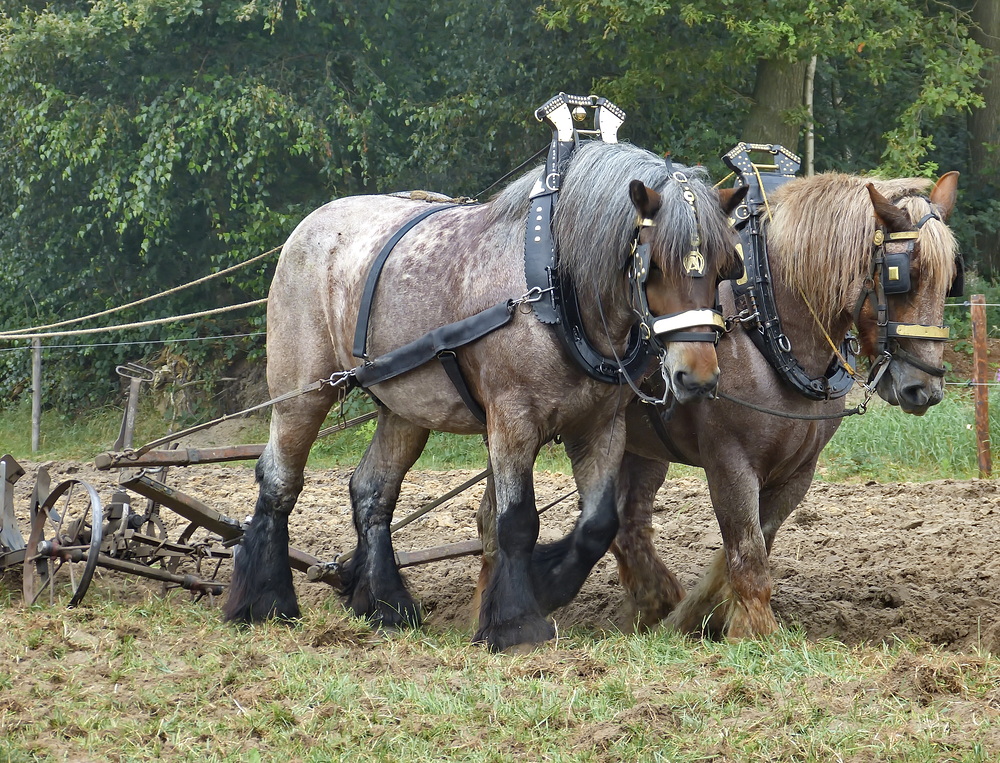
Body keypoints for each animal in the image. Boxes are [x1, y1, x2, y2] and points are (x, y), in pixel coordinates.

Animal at [223, 142, 748, 652]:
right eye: (651, 265)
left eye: (724, 267)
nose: (697, 377)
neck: (553, 287)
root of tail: (311, 223)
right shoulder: (513, 420)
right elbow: (515, 520)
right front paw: (516, 624)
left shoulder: (600, 426)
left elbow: (598, 524)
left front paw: (546, 583)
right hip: (303, 390)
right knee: (279, 480)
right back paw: (263, 603)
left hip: (405, 408)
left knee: (372, 492)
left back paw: (388, 608)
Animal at [608, 169, 960, 640]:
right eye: (903, 275)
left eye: (949, 279)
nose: (926, 388)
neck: (766, 320)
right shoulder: (730, 462)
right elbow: (747, 546)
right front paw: (755, 632)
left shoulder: (799, 471)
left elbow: (757, 539)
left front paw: (704, 613)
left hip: (641, 446)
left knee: (629, 521)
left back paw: (653, 604)